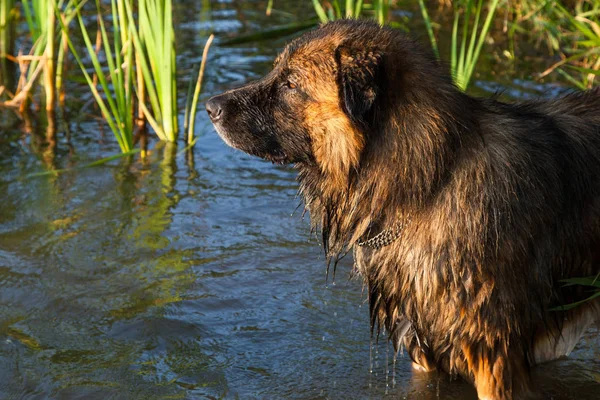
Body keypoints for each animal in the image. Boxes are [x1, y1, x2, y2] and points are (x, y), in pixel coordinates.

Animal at [207, 19, 600, 400]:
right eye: (276, 73)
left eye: (290, 84)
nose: (211, 107)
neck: (431, 181)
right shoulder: (423, 345)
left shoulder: (493, 353)